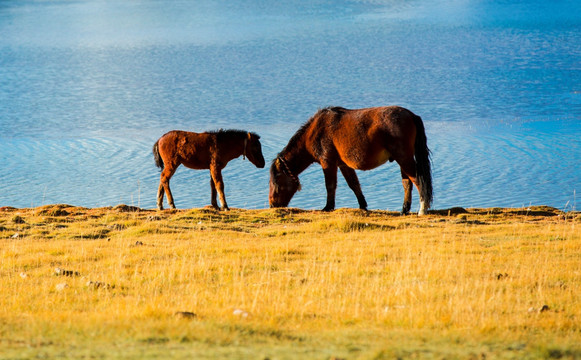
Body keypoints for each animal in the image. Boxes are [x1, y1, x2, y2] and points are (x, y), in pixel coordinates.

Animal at [268, 106, 430, 214]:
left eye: (277, 183)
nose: (272, 205)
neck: (315, 132)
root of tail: (411, 115)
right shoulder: (343, 165)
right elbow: (354, 184)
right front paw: (363, 206)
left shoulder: (328, 163)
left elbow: (330, 185)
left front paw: (328, 207)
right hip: (402, 160)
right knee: (407, 183)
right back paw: (404, 210)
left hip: (403, 158)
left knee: (417, 180)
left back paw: (422, 209)